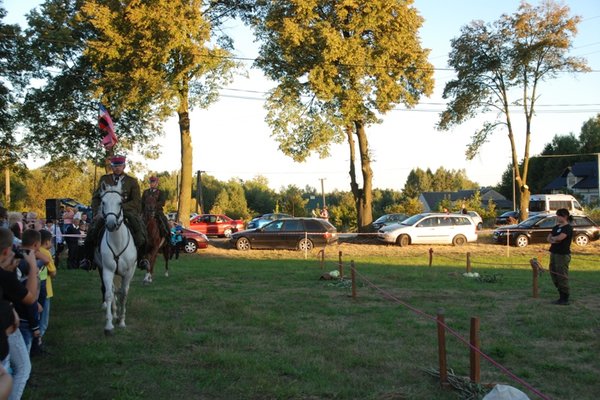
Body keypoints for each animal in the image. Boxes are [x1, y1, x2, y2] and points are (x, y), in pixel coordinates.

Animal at [96, 181, 137, 334]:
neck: (117, 242)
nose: (111, 224)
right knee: (113, 290)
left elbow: (124, 294)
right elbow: (109, 294)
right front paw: (109, 325)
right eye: (103, 202)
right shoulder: (107, 270)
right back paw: (113, 313)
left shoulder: (129, 272)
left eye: (120, 202)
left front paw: (122, 321)